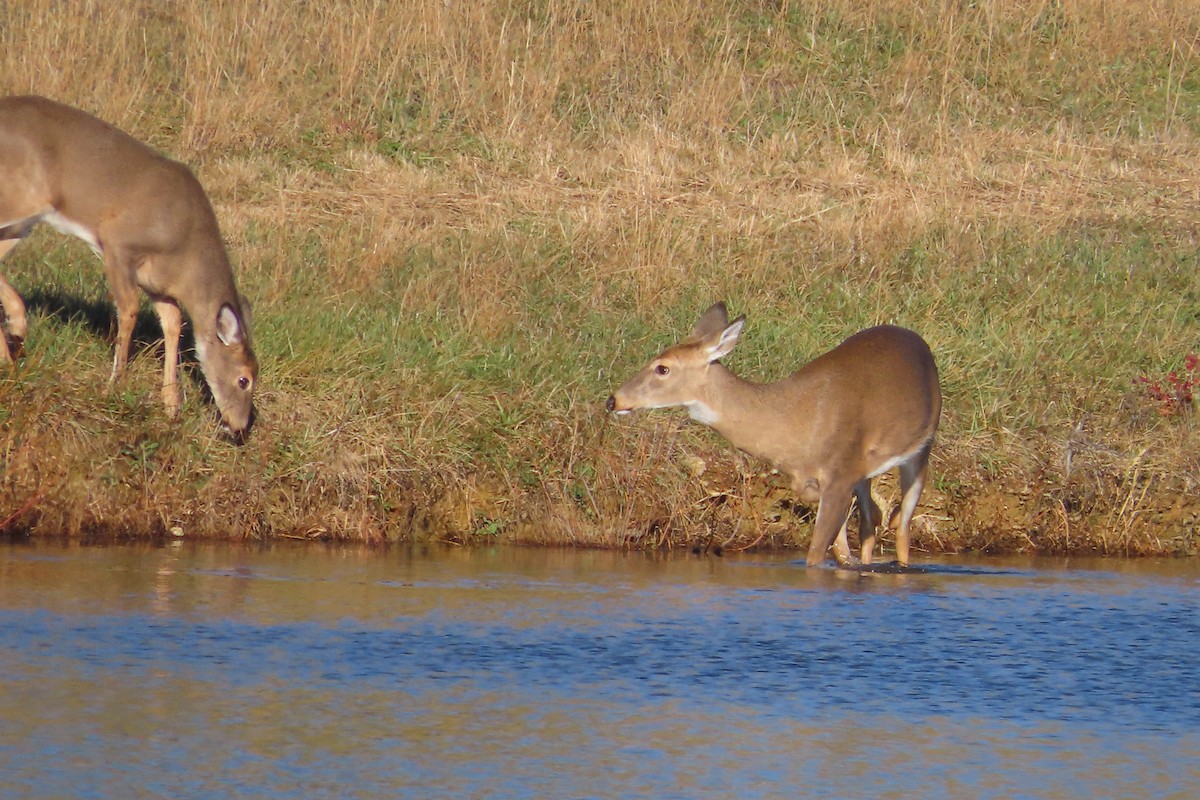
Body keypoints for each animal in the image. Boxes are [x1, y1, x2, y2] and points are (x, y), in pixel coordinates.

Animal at [0, 95, 257, 441]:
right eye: (244, 379)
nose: (239, 427)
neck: (186, 249)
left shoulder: (159, 284)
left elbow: (174, 323)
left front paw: (171, 404)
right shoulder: (119, 243)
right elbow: (130, 310)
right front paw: (114, 385)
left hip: (22, 220)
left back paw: (14, 337)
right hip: (19, 197)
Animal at [606, 302, 941, 568]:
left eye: (662, 368)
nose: (614, 400)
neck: (794, 424)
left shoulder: (840, 475)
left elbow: (815, 555)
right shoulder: (827, 479)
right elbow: (840, 548)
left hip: (922, 446)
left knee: (903, 526)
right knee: (871, 523)